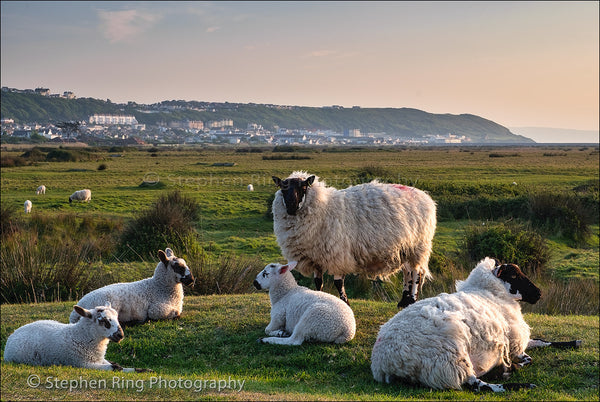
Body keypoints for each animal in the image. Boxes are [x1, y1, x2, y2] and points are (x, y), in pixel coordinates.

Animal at [4, 304, 138, 370]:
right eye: (102, 320)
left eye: (117, 317)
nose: (120, 335)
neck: (79, 335)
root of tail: (13, 333)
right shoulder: (81, 363)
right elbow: (115, 368)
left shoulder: (99, 359)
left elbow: (119, 366)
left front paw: (140, 370)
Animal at [272, 170, 436, 308]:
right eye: (282, 188)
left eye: (304, 187)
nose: (291, 206)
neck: (324, 208)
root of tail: (424, 196)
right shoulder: (315, 258)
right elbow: (318, 283)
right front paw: (319, 298)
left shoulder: (338, 255)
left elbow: (338, 283)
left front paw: (345, 303)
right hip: (406, 247)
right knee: (407, 272)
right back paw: (403, 301)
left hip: (418, 245)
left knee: (416, 273)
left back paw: (412, 300)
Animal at [370, 258, 544, 392]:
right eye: (514, 275)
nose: (539, 293)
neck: (492, 292)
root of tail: (389, 362)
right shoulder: (515, 345)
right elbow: (529, 359)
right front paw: (514, 366)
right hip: (452, 359)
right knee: (477, 385)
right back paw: (516, 378)